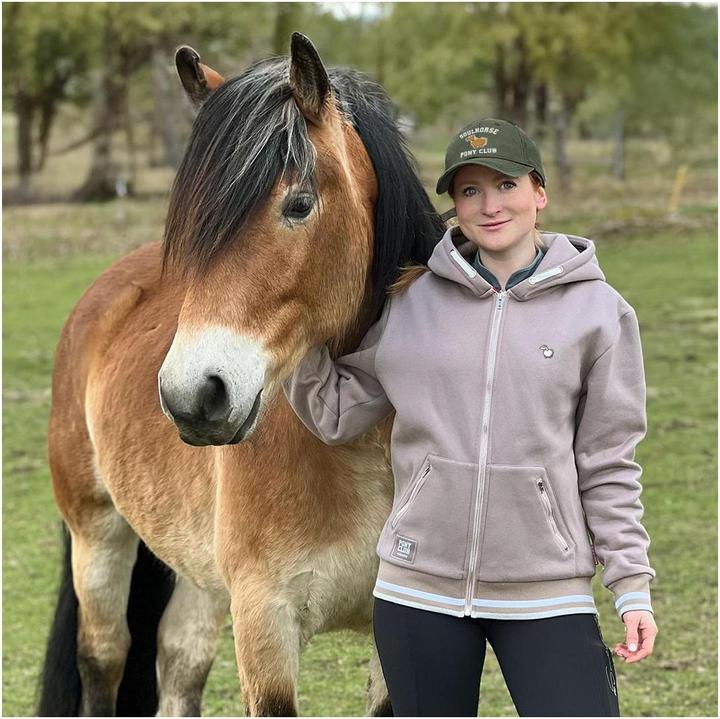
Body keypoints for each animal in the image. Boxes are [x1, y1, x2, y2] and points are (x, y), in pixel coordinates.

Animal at [38, 33, 445, 716]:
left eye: (299, 205)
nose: (191, 397)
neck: (361, 453)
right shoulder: (264, 623)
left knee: (179, 662)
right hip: (98, 535)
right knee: (105, 659)